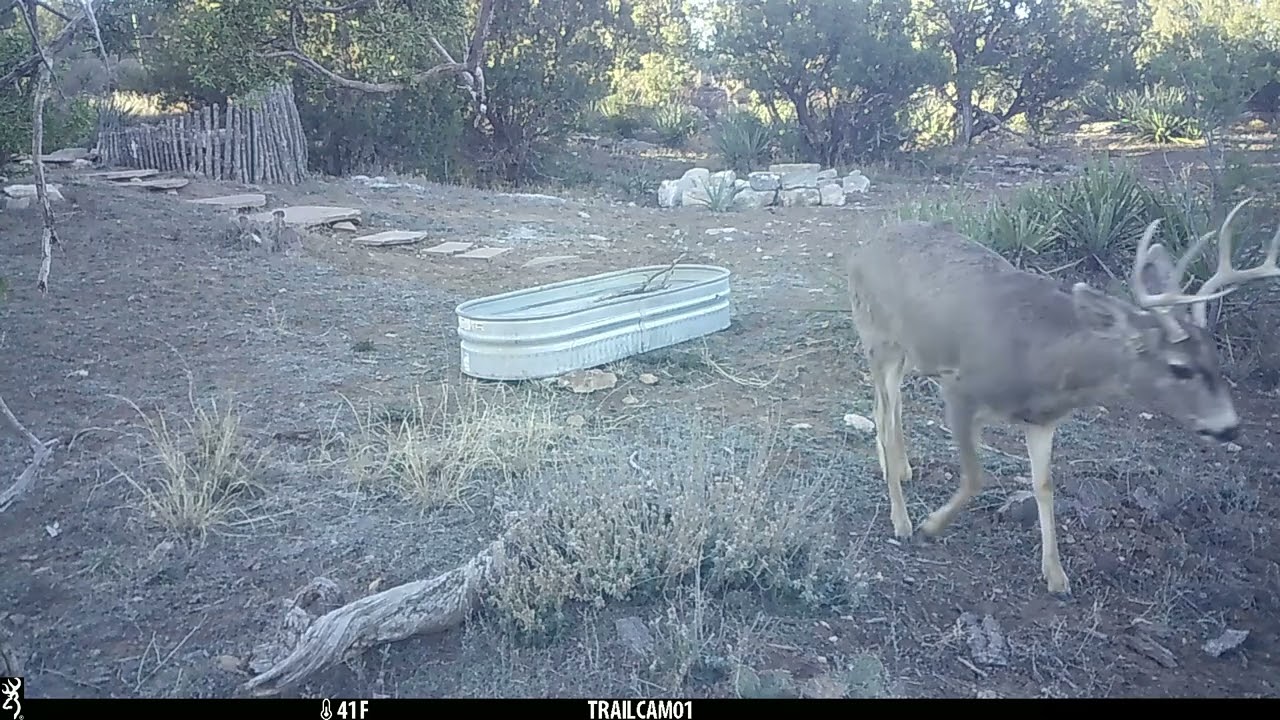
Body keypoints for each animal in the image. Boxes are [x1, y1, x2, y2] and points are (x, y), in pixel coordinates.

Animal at [844, 198, 1279, 597]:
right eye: (1179, 368)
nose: (1229, 427)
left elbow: (1045, 485)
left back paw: (901, 469)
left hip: (908, 351)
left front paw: (1056, 575)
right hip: (877, 336)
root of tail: (869, 244)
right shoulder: (960, 389)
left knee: (890, 407)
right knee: (882, 413)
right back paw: (900, 519)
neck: (1044, 362)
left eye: (1215, 358)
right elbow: (975, 476)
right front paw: (928, 527)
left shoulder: (1043, 420)